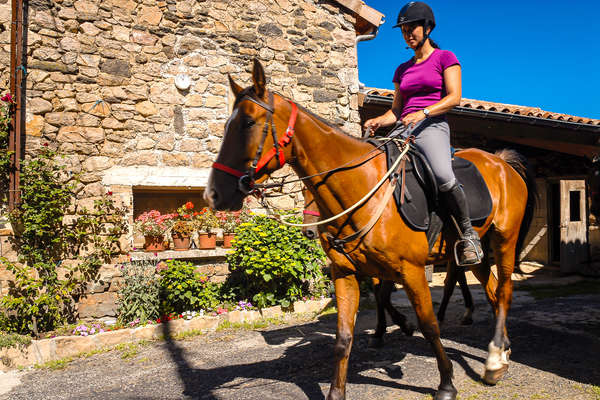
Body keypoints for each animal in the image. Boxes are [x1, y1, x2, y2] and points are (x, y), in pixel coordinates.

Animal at [205, 59, 536, 400]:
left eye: (248, 122)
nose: (214, 193)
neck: (362, 188)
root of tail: (501, 163)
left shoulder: (412, 271)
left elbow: (429, 325)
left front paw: (445, 382)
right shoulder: (346, 272)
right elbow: (344, 336)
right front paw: (337, 391)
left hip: (504, 240)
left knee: (505, 291)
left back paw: (495, 360)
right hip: (476, 253)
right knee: (493, 291)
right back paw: (501, 349)